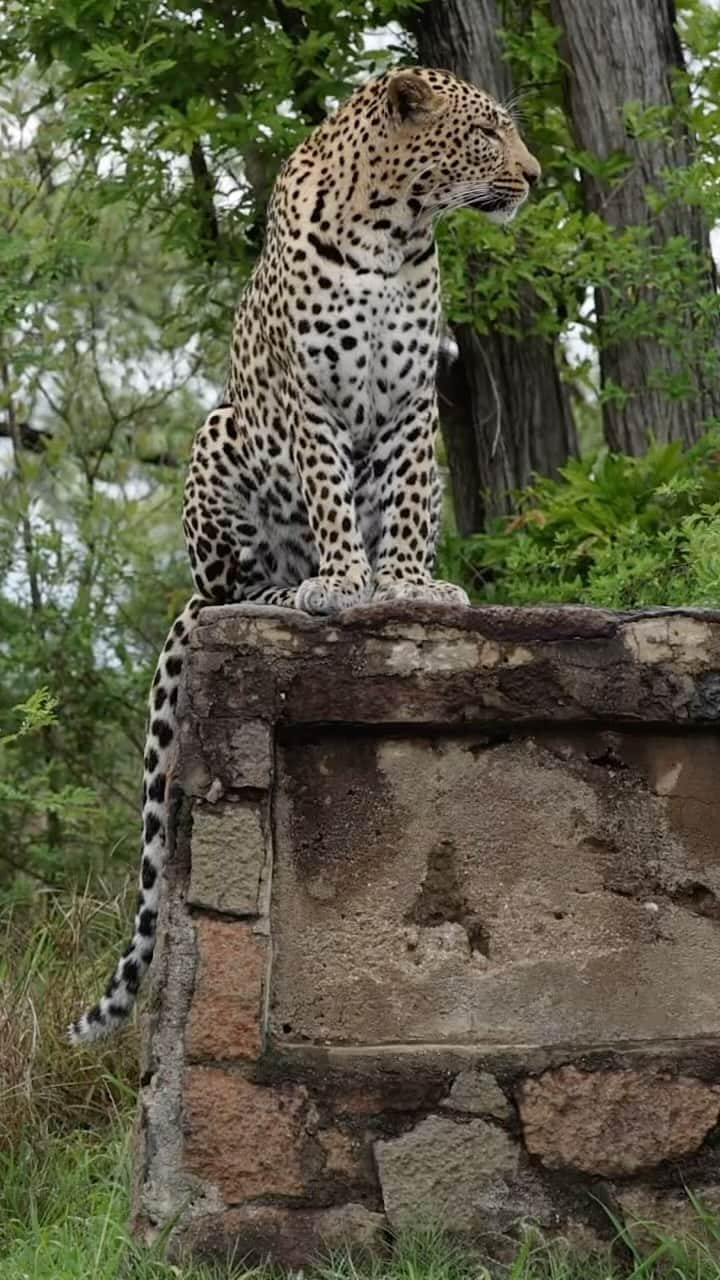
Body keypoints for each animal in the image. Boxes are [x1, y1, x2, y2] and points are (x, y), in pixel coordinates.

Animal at [68, 64, 538, 1044]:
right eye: (486, 135)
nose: (536, 176)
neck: (397, 232)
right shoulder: (309, 399)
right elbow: (329, 496)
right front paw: (346, 583)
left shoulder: (412, 404)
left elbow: (404, 502)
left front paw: (409, 585)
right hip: (220, 439)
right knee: (236, 587)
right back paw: (292, 592)